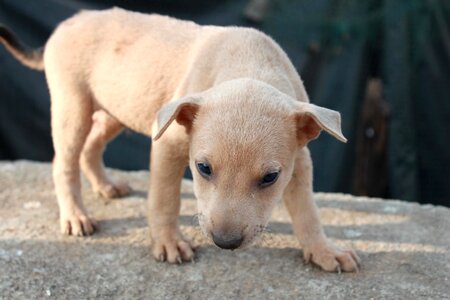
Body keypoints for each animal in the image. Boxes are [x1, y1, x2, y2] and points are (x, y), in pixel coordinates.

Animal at [0, 8, 358, 272]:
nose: (225, 243)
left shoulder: (300, 161)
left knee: (92, 146)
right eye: (203, 168)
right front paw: (169, 242)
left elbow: (308, 209)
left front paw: (323, 250)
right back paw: (75, 215)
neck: (249, 65)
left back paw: (106, 185)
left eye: (270, 177)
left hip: (119, 107)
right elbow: (165, 198)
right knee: (64, 163)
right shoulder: (168, 144)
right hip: (72, 106)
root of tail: (67, 24)